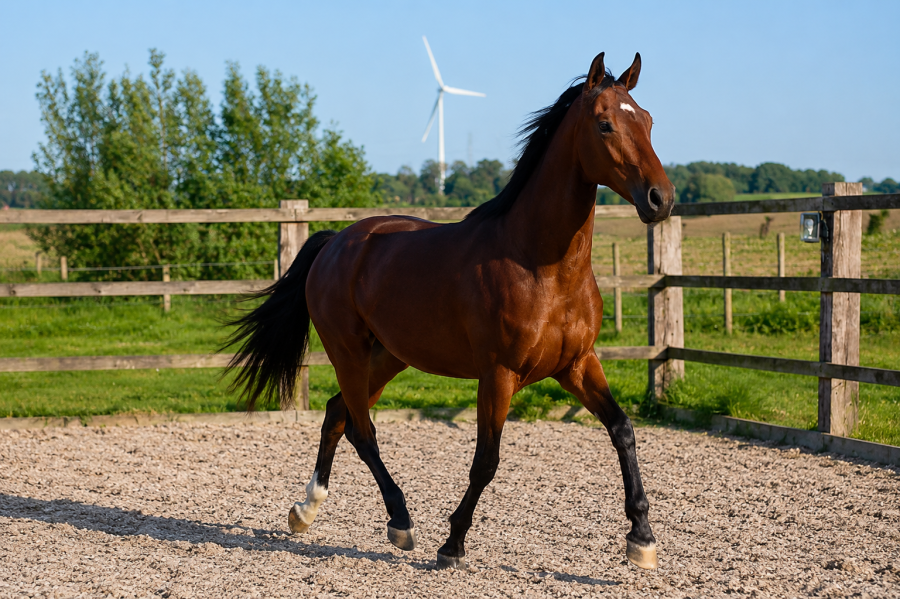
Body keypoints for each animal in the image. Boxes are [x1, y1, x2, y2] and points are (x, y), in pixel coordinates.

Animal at [225, 52, 675, 571]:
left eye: (648, 120)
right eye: (605, 124)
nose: (661, 199)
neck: (541, 265)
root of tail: (335, 242)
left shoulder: (577, 365)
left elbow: (623, 431)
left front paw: (641, 539)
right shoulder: (498, 374)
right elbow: (486, 460)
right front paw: (453, 543)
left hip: (387, 356)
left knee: (338, 414)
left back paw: (305, 510)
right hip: (349, 353)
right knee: (362, 429)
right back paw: (400, 522)